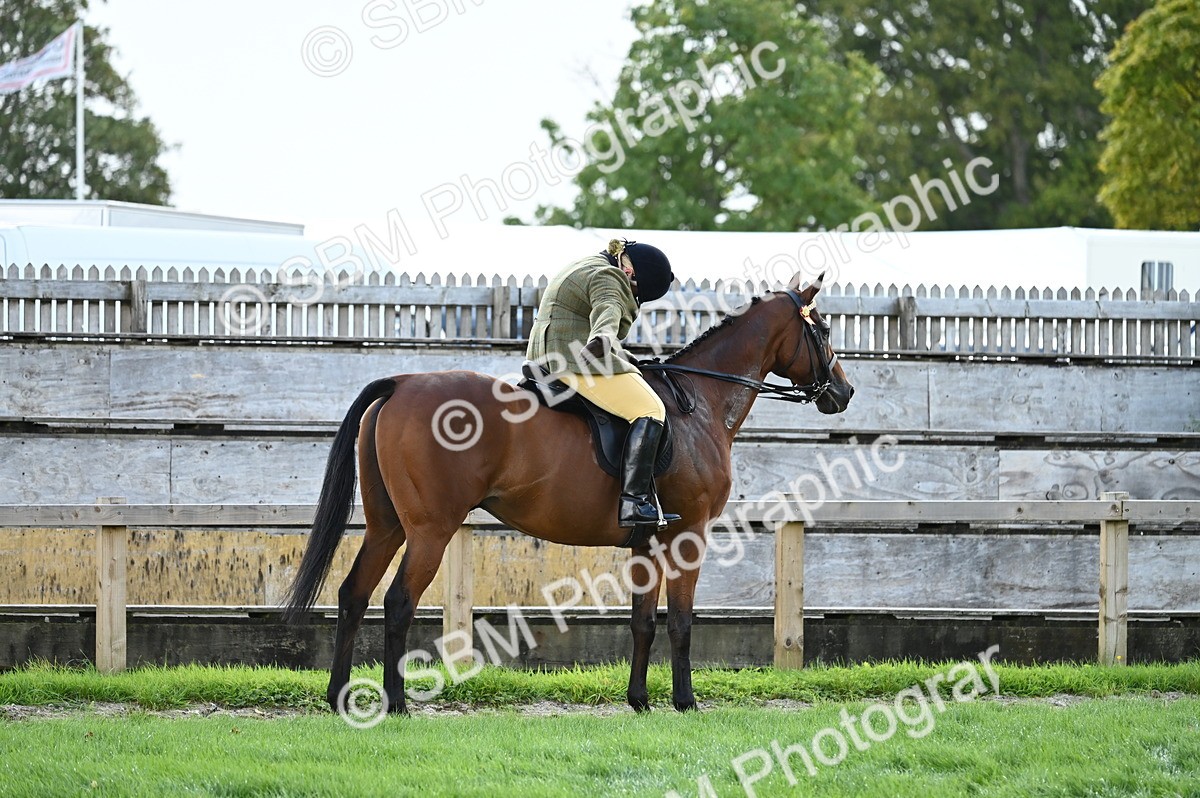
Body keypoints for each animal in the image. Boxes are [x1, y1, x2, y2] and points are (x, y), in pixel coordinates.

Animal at [282, 270, 854, 714]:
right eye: (823, 328)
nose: (844, 391)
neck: (700, 402)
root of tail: (401, 382)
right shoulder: (688, 536)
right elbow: (680, 623)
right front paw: (685, 701)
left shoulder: (647, 542)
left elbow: (642, 623)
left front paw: (639, 701)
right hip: (430, 530)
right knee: (399, 601)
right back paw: (398, 703)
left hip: (387, 527)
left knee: (354, 594)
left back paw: (338, 697)